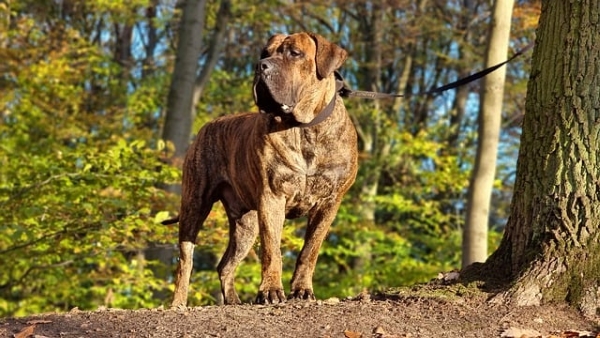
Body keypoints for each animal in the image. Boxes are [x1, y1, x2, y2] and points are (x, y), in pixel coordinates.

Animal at [164, 31, 358, 306]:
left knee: (225, 265)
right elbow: (272, 249)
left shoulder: (329, 203)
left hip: (247, 224)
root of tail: (208, 125)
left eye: (294, 53)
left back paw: (233, 301)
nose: (260, 66)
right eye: (265, 53)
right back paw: (179, 302)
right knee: (185, 261)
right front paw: (270, 291)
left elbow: (310, 250)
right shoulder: (272, 198)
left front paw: (302, 289)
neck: (304, 128)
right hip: (195, 205)